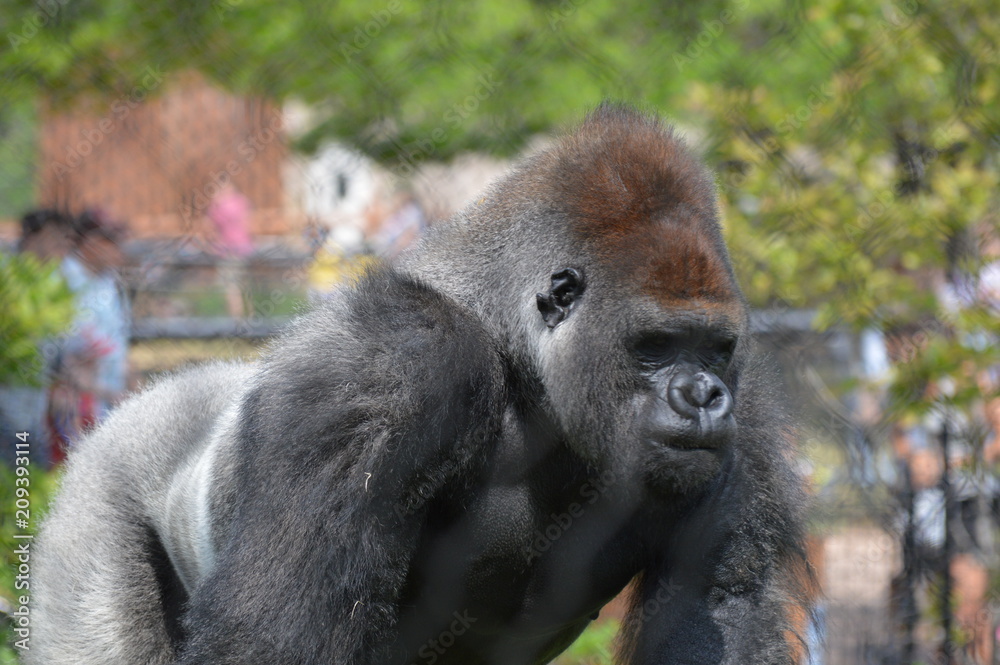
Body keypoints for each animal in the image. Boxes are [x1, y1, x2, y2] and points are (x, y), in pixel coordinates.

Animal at [27, 103, 813, 665]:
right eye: (652, 348)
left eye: (714, 349)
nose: (702, 395)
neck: (522, 364)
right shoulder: (395, 365)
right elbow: (273, 635)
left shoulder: (750, 414)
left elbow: (715, 614)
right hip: (97, 491)